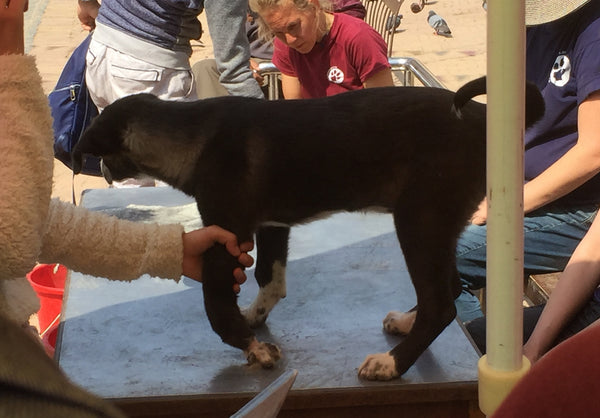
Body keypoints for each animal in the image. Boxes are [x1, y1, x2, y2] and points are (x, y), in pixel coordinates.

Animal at [74, 76, 544, 380]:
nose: (100, 169)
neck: (191, 135)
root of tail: (484, 118)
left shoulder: (225, 232)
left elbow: (216, 304)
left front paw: (251, 345)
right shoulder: (271, 225)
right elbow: (270, 278)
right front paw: (255, 318)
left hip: (420, 219)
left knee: (440, 304)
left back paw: (392, 363)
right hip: (439, 224)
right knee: (448, 287)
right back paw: (405, 325)